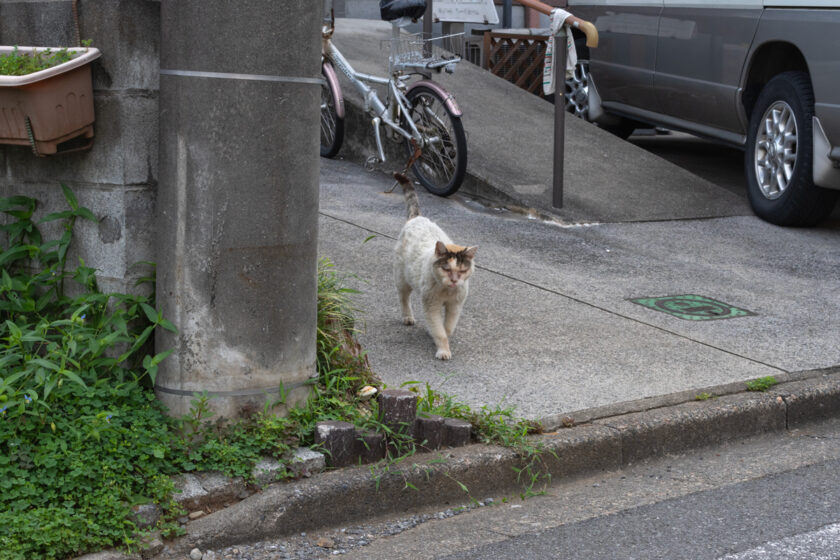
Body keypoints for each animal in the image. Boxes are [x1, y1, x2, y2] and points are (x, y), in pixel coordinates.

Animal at [390, 173, 476, 360]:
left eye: (462, 271)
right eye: (446, 269)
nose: (454, 280)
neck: (447, 291)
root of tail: (417, 218)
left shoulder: (455, 306)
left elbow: (447, 328)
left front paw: (440, 335)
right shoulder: (432, 307)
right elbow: (439, 331)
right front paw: (443, 350)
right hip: (402, 278)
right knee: (403, 298)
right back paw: (407, 317)